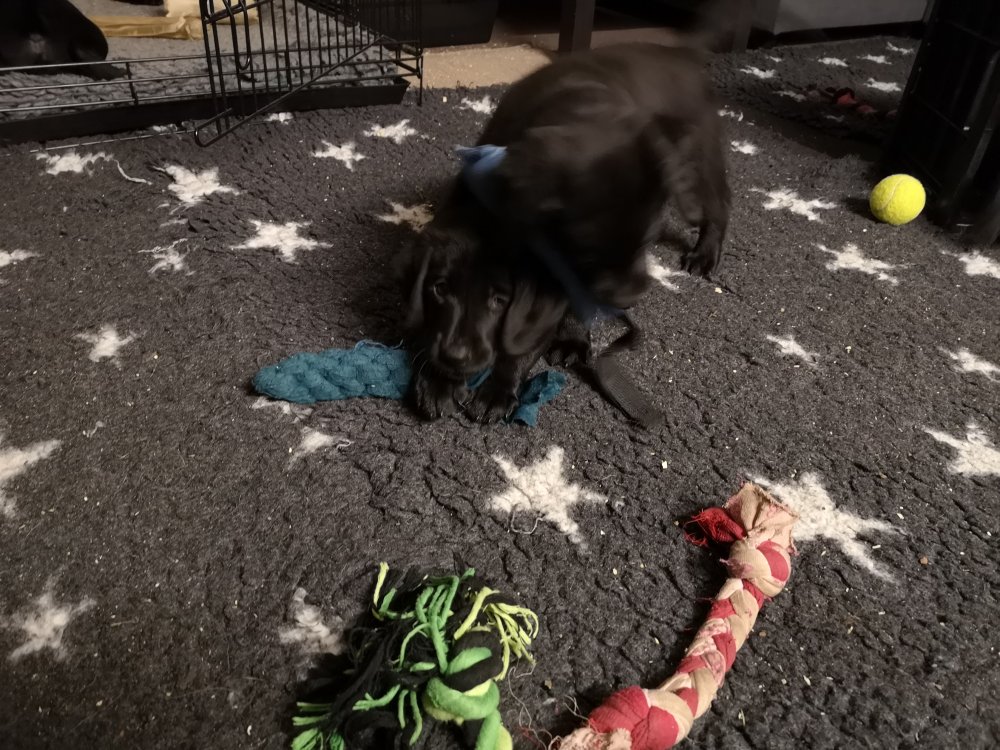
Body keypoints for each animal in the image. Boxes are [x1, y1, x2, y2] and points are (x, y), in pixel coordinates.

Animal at [403, 42, 730, 422]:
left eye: (646, 241)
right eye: (589, 251)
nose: (628, 300)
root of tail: (683, 54)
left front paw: (505, 383)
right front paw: (438, 380)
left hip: (699, 158)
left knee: (717, 204)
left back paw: (704, 254)